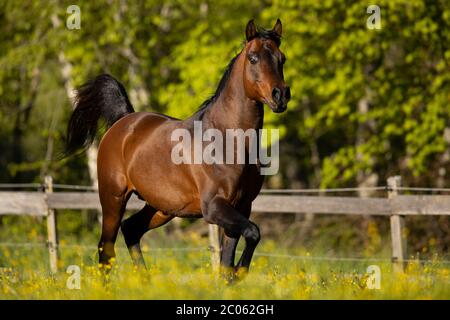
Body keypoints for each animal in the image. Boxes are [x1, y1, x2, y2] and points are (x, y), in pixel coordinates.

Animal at [66, 19, 292, 278]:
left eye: (282, 58)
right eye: (253, 58)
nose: (280, 95)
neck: (229, 141)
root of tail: (124, 121)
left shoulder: (242, 206)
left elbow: (229, 259)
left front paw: (234, 277)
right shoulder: (214, 207)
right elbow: (253, 233)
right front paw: (239, 273)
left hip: (162, 207)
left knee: (131, 229)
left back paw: (146, 281)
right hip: (113, 198)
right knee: (106, 249)